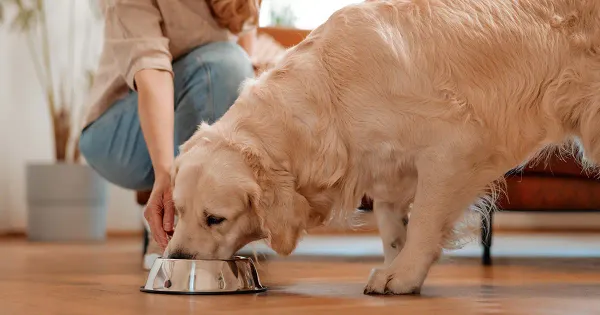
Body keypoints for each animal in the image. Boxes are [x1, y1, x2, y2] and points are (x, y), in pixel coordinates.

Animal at [166, 0, 600, 296]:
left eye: (215, 219)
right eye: (179, 210)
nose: (175, 260)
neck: (332, 95)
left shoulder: (452, 147)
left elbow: (424, 218)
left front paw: (403, 275)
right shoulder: (387, 170)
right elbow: (393, 227)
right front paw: (397, 264)